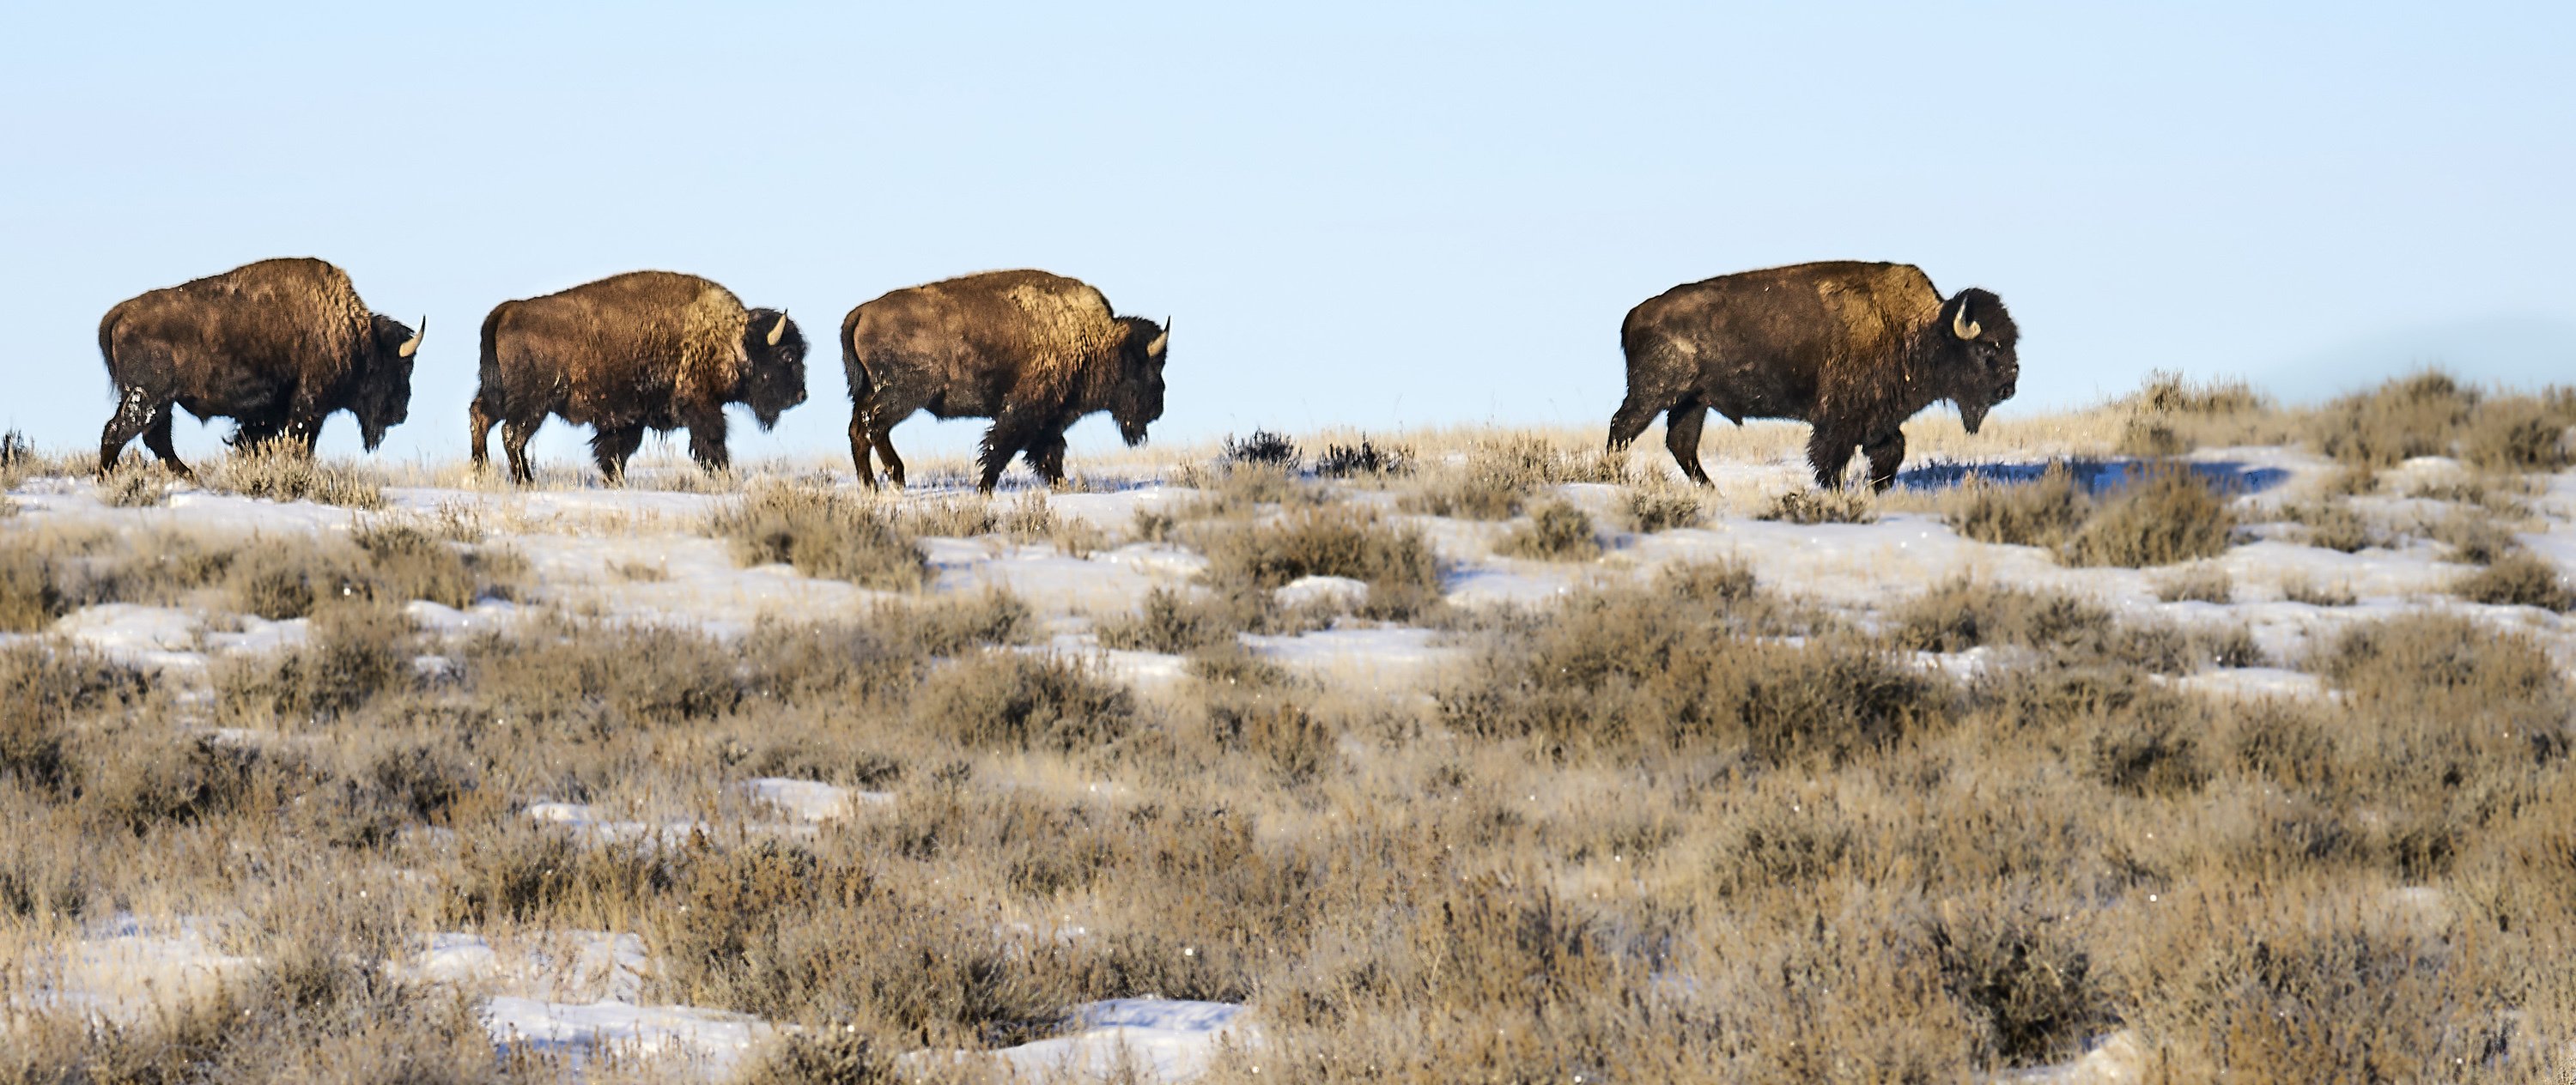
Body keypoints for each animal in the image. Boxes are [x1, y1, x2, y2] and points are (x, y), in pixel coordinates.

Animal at [98, 256, 422, 476]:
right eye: (401, 368)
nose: (401, 414)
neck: (357, 337)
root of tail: (121, 313)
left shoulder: (267, 415)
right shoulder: (307, 407)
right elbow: (300, 445)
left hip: (160, 403)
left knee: (155, 438)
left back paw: (188, 476)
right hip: (149, 398)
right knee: (119, 431)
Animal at [471, 270, 804, 482]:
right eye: (787, 356)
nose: (802, 395)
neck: (731, 338)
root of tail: (509, 310)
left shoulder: (629, 418)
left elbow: (615, 451)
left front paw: (615, 480)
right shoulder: (701, 405)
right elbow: (712, 442)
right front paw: (724, 477)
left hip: (499, 393)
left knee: (481, 416)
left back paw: (481, 471)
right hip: (532, 402)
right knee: (512, 434)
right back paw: (524, 480)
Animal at [845, 268, 1170, 492]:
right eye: (1147, 368)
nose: (1157, 409)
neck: (1093, 339)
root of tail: (862, 312)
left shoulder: (1050, 419)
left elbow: (1048, 454)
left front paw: (1061, 485)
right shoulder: (1023, 411)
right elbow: (1000, 449)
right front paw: (984, 489)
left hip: (871, 392)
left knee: (858, 430)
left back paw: (871, 486)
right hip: (902, 395)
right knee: (874, 427)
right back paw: (897, 477)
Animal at [1607, 260, 2009, 487]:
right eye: (1987, 348)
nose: (2009, 385)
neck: (1917, 331)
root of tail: (1634, 315)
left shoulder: (1878, 421)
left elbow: (1891, 453)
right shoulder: (1840, 423)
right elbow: (1830, 461)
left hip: (1693, 401)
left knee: (1681, 444)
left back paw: (1713, 492)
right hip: (1654, 393)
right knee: (1622, 428)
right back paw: (1612, 476)